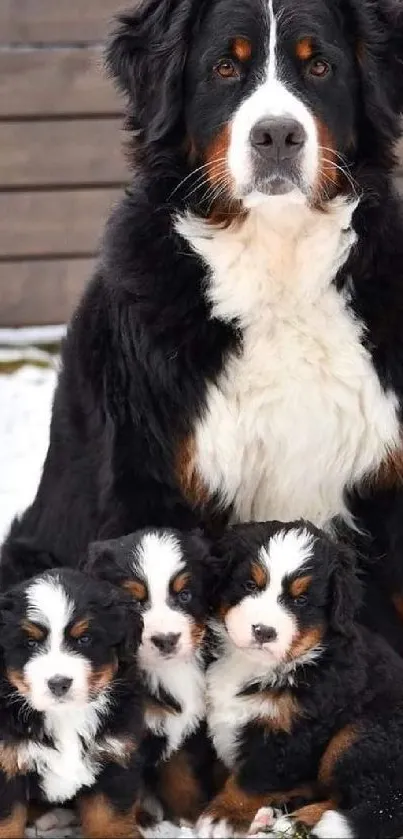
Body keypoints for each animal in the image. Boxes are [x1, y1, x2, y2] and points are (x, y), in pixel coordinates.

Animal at [0, 568, 144, 836]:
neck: (65, 716)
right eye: (30, 643)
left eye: (84, 639)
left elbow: (109, 819)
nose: (59, 683)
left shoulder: (115, 756)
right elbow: (7, 823)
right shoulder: (6, 762)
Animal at [84, 528, 218, 824]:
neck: (166, 671)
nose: (166, 640)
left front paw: (189, 819)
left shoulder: (187, 729)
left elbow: (183, 780)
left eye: (184, 596)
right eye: (134, 602)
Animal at [200, 520, 403, 836]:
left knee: (376, 802)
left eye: (301, 600)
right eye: (250, 585)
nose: (264, 631)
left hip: (360, 734)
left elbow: (253, 779)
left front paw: (223, 815)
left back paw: (304, 820)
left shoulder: (291, 731)